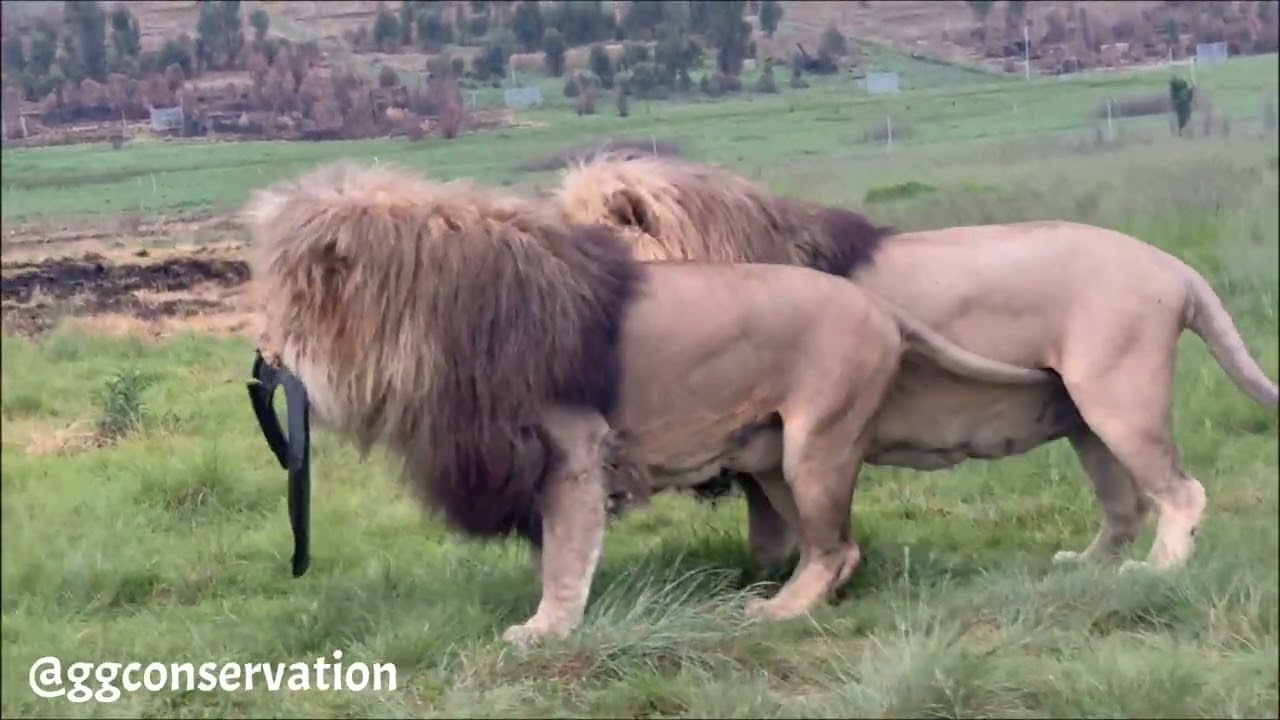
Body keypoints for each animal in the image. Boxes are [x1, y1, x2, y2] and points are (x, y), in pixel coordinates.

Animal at [241, 161, 1053, 645]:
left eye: (288, 307)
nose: (266, 358)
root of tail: (878, 308)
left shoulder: (572, 450)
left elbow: (566, 552)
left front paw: (546, 630)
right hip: (776, 457)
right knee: (817, 544)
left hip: (816, 446)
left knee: (835, 546)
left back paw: (779, 610)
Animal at [551, 152, 1279, 575]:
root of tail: (1174, 266)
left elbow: (773, 521)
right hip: (1084, 419)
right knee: (1124, 506)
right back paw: (1085, 564)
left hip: (1120, 400)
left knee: (1179, 492)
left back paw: (1158, 572)